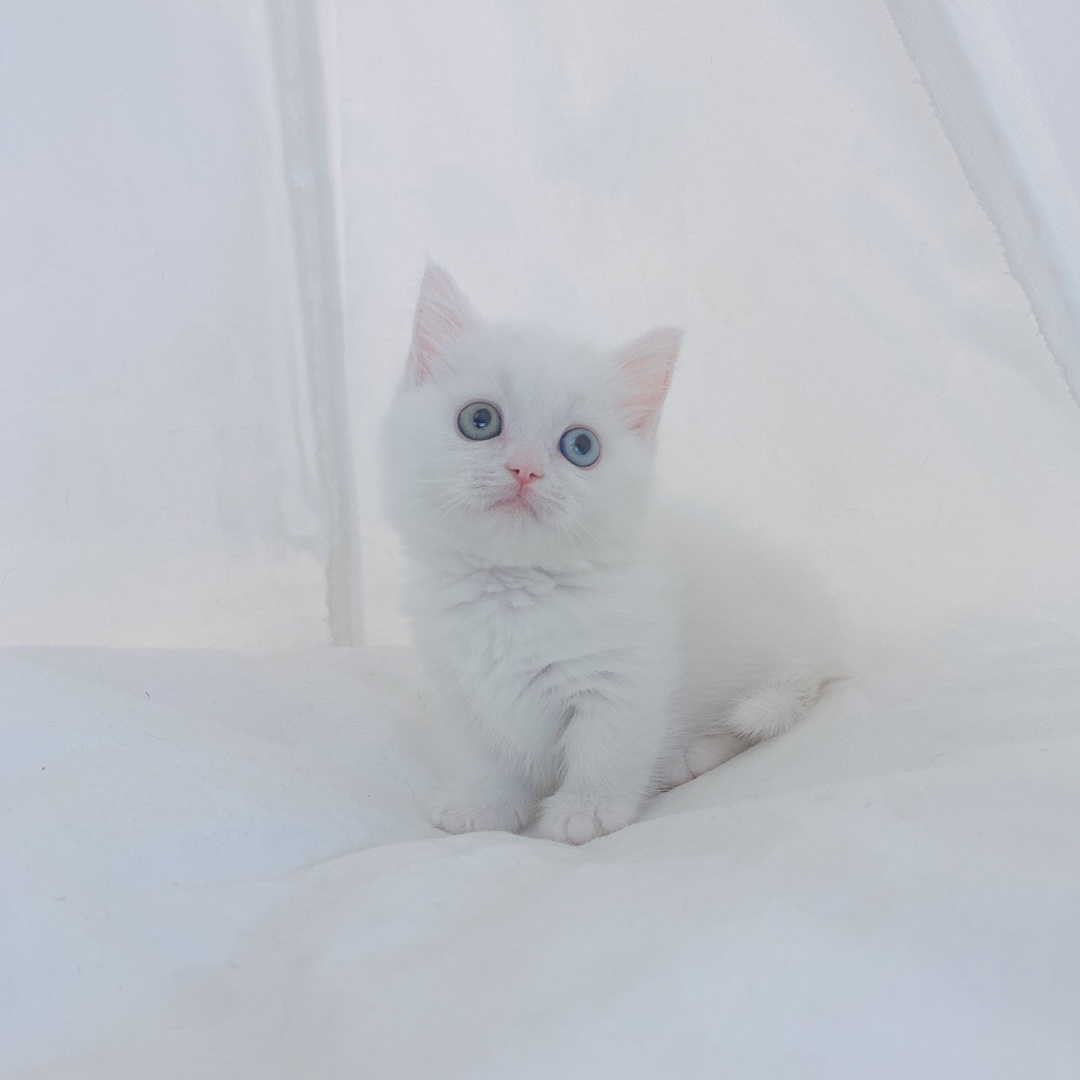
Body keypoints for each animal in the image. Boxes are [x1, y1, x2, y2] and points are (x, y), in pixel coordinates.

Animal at [381, 263, 842, 844]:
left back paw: (691, 755)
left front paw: (586, 809)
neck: (512, 589)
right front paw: (482, 805)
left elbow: (608, 749)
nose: (525, 469)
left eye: (580, 447)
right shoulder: (462, 690)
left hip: (777, 666)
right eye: (479, 420)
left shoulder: (626, 676)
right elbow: (485, 757)